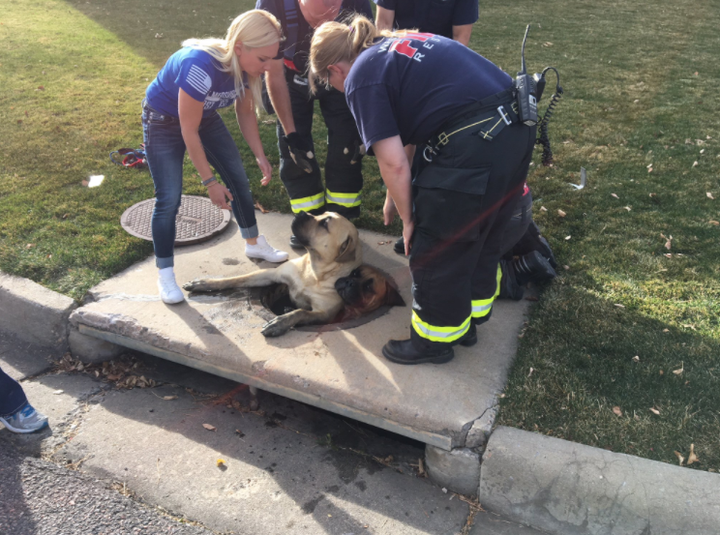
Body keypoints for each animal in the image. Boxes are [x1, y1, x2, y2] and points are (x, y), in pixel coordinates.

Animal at [180, 211, 360, 338]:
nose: (301, 212)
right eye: (321, 213)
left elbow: (301, 312)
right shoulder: (271, 273)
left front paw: (279, 323)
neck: (314, 272)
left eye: (325, 223)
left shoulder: (324, 314)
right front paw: (204, 283)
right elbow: (236, 279)